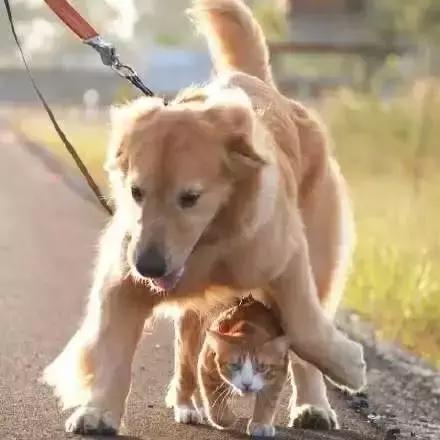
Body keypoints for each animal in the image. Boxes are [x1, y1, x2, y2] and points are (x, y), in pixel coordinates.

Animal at [197, 296, 288, 436]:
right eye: (234, 365)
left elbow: (268, 400)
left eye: (261, 367)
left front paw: (260, 424)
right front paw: (226, 418)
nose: (247, 384)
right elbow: (213, 399)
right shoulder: (206, 367)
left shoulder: (279, 373)